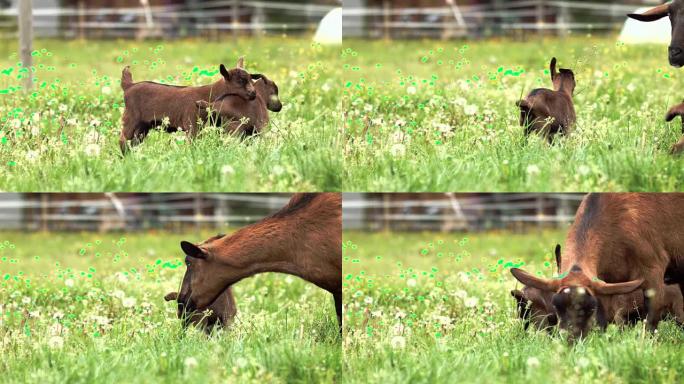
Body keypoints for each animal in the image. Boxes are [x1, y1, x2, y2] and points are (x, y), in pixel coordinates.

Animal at [119, 57, 258, 153]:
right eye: (239, 81)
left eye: (251, 79)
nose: (253, 93)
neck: (211, 93)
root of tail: (129, 86)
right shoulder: (193, 125)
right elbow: (192, 144)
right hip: (131, 119)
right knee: (123, 139)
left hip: (143, 126)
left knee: (134, 142)